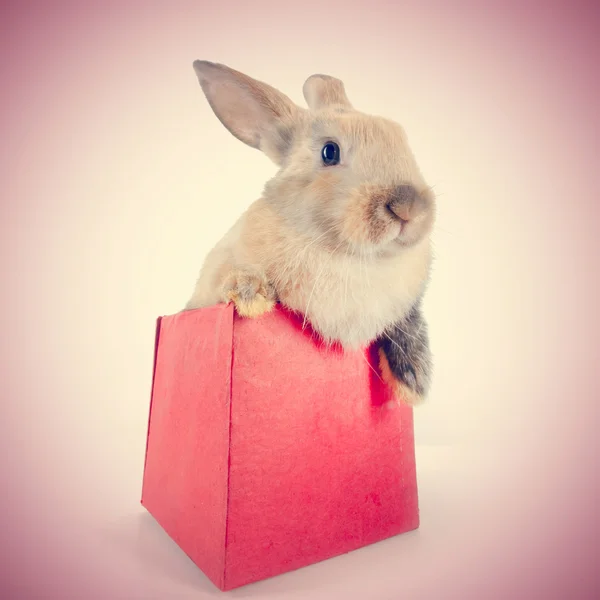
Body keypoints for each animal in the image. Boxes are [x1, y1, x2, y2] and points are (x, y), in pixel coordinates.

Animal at [185, 61, 434, 406]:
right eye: (330, 152)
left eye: (401, 138)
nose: (408, 207)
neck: (352, 257)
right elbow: (230, 276)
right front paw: (253, 295)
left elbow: (407, 326)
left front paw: (412, 384)